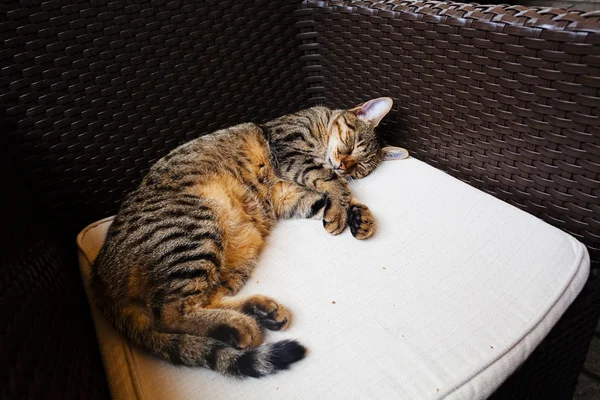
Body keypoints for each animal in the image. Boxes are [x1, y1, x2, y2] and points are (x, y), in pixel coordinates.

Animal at [91, 97, 406, 378]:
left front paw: (359, 216)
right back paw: (242, 325)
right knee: (170, 314)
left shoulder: (288, 196)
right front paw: (342, 209)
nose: (344, 165)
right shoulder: (289, 150)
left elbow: (330, 196)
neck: (319, 125)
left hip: (233, 260)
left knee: (196, 303)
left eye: (360, 168)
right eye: (351, 144)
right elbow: (333, 183)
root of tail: (99, 276)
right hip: (197, 230)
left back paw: (259, 313)